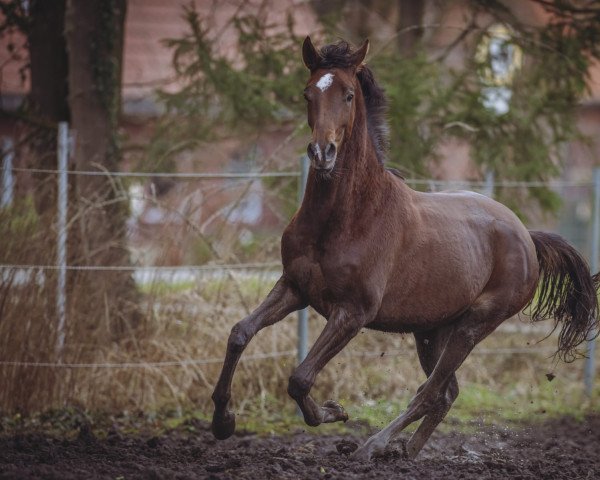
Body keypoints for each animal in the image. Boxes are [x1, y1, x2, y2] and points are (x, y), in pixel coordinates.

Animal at [210, 35, 596, 460]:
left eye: (348, 95)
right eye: (307, 93)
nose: (322, 153)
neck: (346, 218)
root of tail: (527, 236)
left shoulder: (353, 312)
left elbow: (301, 376)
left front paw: (335, 411)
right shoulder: (295, 287)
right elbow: (240, 333)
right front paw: (223, 422)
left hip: (473, 326)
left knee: (430, 392)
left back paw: (373, 446)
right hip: (431, 330)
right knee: (446, 393)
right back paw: (405, 451)